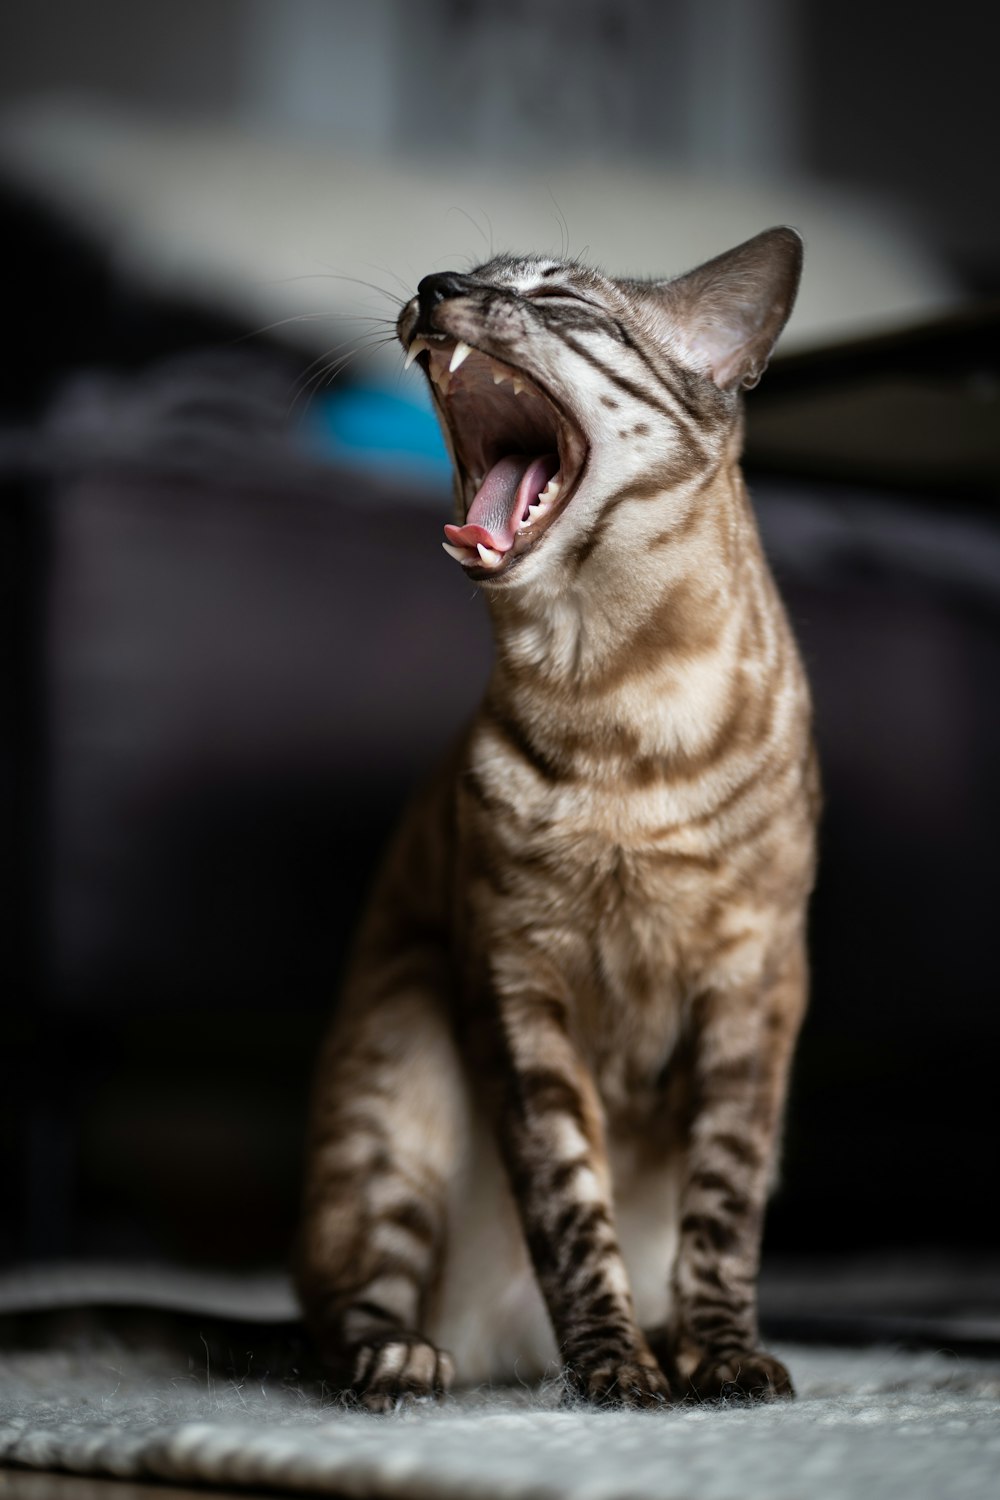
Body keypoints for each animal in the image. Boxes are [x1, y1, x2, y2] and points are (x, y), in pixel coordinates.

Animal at [295, 222, 821, 1404]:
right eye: (466, 277)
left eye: (558, 302)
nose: (436, 285)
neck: (608, 692)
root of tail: (505, 1356)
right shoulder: (517, 988)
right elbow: (572, 1216)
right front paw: (617, 1376)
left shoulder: (751, 987)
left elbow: (722, 1217)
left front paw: (722, 1363)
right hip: (402, 1064)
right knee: (349, 1308)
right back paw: (413, 1362)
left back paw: (674, 1346)